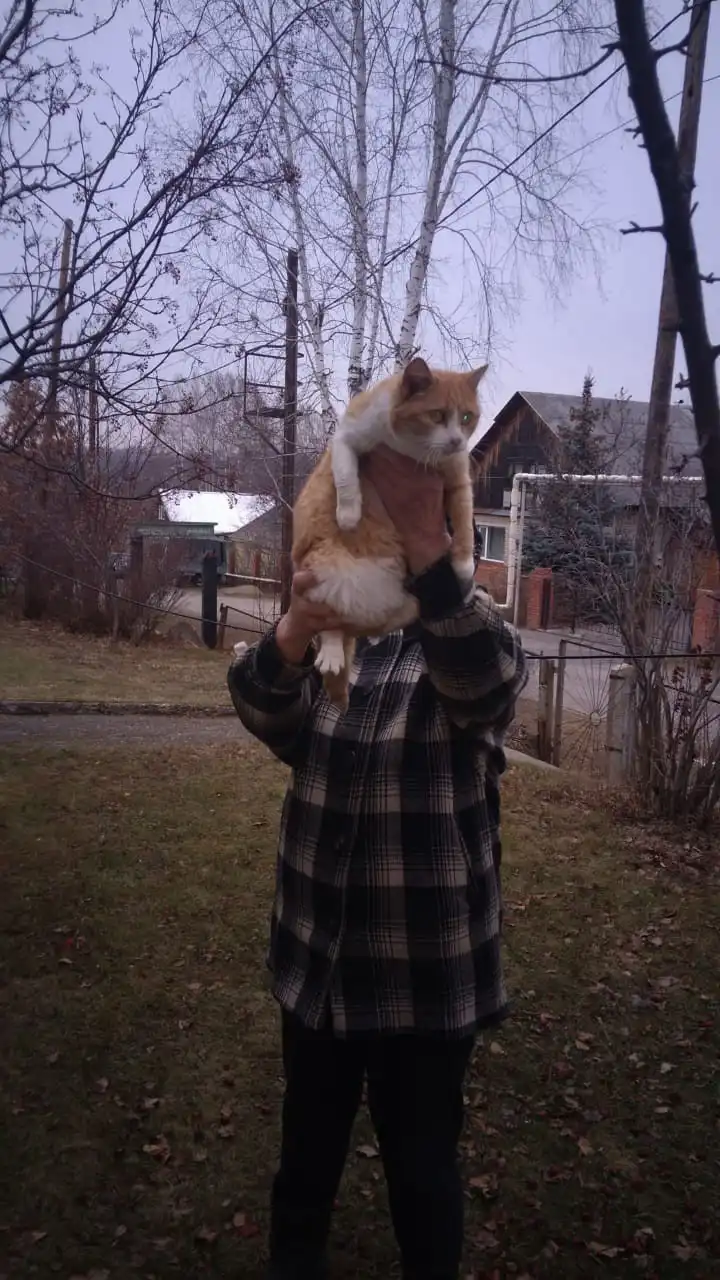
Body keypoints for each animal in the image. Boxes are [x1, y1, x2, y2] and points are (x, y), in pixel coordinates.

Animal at [291, 356, 487, 709]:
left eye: (467, 417)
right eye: (437, 415)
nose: (457, 441)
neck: (412, 449)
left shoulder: (457, 479)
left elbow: (464, 521)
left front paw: (464, 565)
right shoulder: (346, 437)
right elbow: (346, 475)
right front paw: (349, 514)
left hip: (408, 606)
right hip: (319, 569)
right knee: (330, 625)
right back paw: (332, 653)